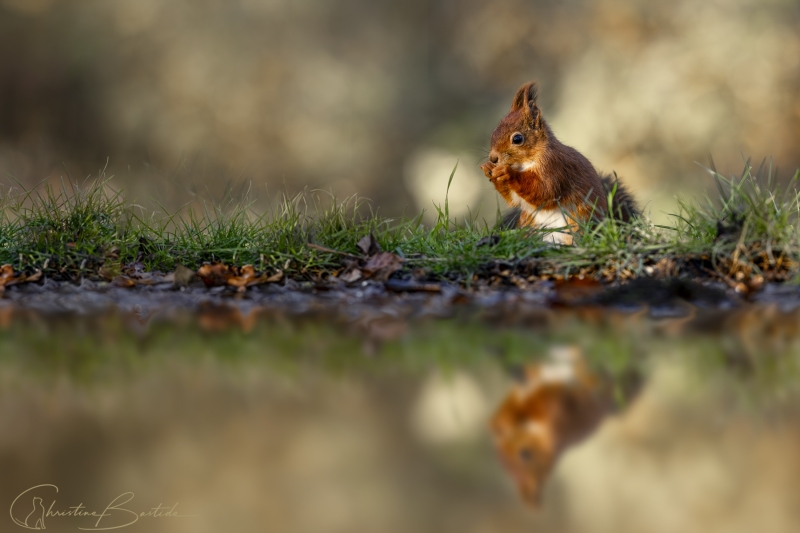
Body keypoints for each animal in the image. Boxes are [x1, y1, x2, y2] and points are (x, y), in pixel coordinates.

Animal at [482, 82, 636, 244]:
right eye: (494, 132)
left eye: (517, 139)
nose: (493, 158)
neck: (526, 163)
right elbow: (515, 200)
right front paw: (488, 169)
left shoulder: (554, 167)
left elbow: (544, 191)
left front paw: (508, 173)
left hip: (577, 225)